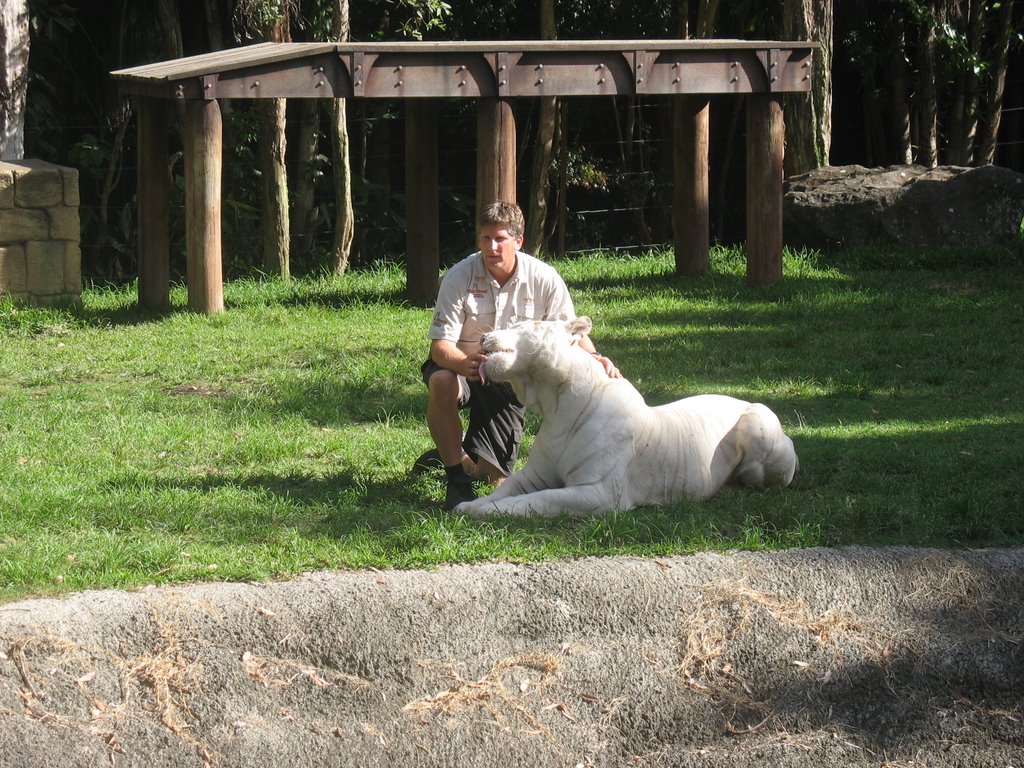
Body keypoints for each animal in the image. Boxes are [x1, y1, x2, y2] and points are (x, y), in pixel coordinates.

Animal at [456, 315, 798, 520]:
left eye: (524, 325)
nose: (484, 337)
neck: (555, 404)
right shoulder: (535, 474)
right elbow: (507, 488)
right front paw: (468, 504)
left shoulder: (599, 492)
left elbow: (538, 500)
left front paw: (489, 511)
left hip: (760, 421)